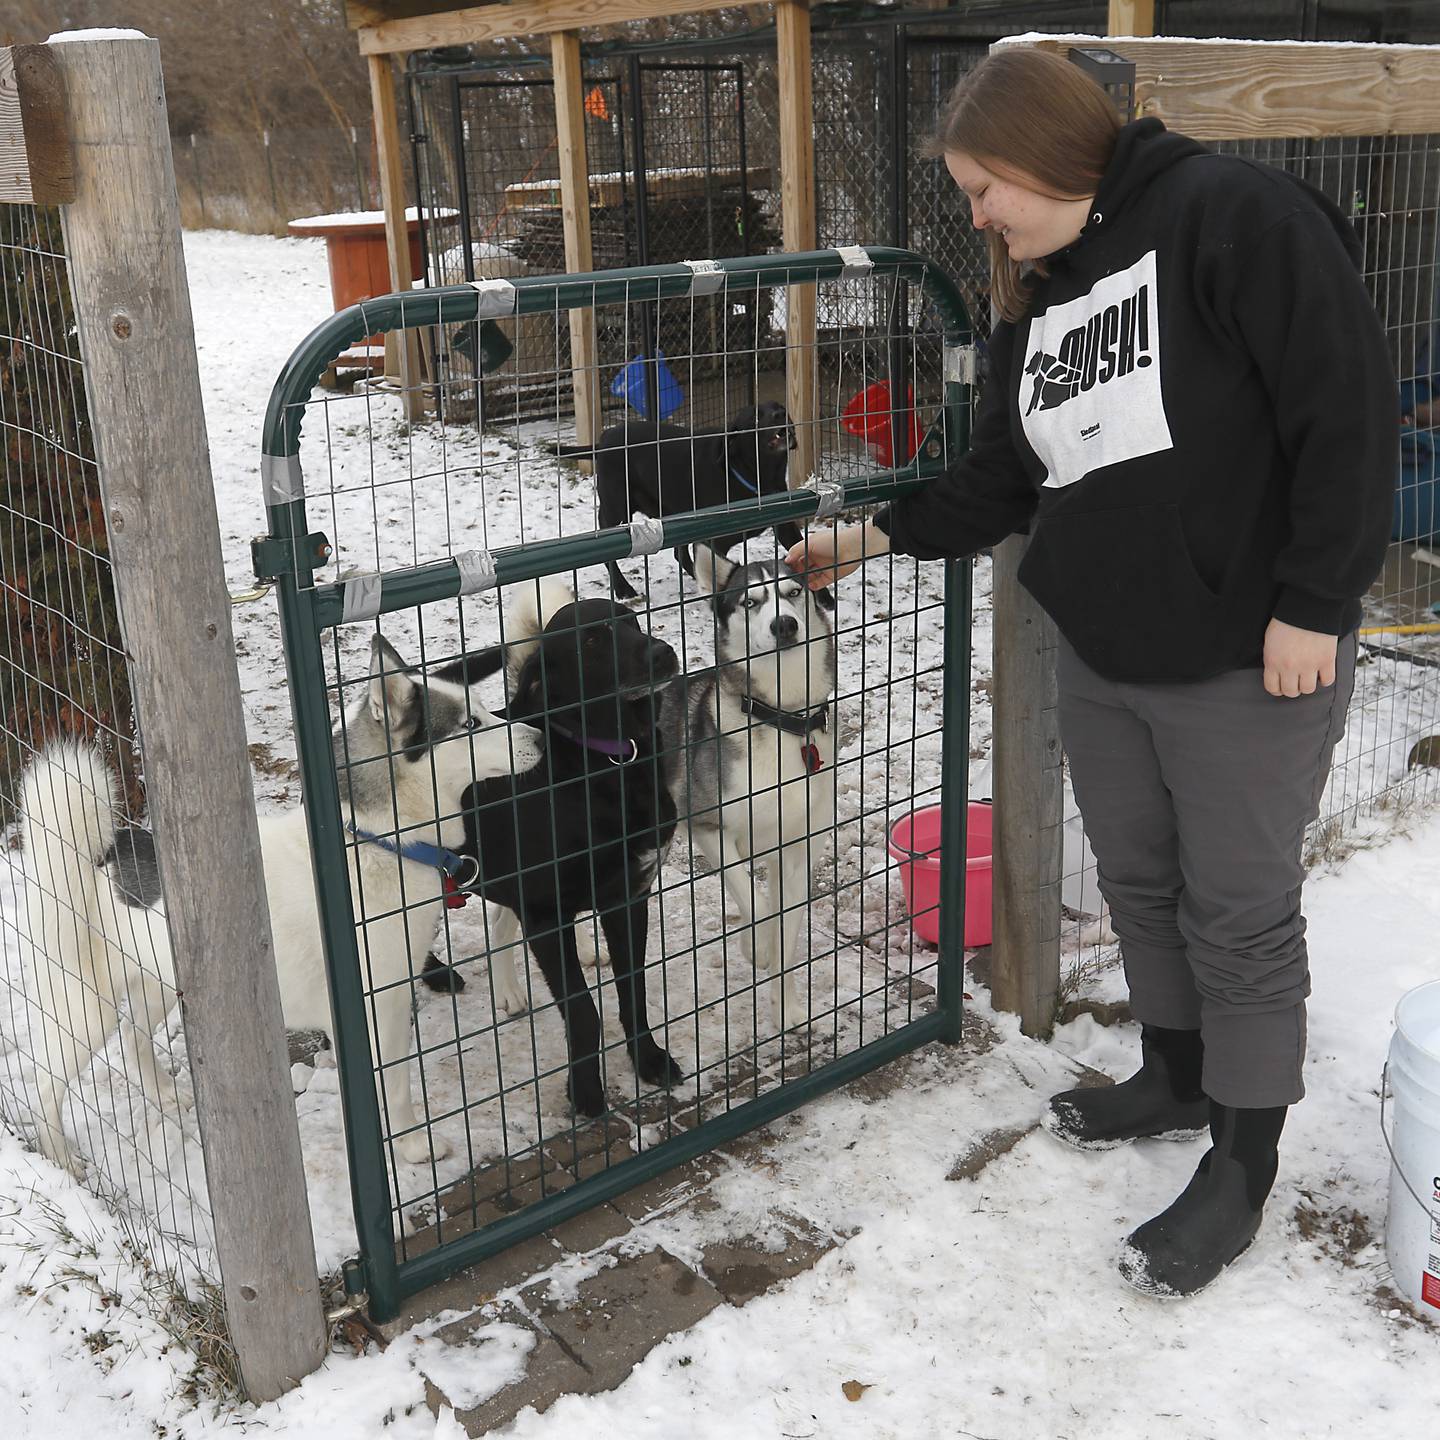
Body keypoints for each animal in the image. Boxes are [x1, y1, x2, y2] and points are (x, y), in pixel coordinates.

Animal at [429, 584, 682, 1111]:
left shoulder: (627, 897)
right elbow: (584, 1012)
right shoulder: (546, 914)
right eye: (591, 641)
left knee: (500, 921)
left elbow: (633, 991)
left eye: (632, 621)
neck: (605, 760)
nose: (663, 652)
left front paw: (648, 1060)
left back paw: (507, 989)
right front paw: (585, 1092)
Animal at [555, 400, 800, 596]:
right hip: (618, 508)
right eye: (756, 417)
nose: (780, 414)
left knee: (679, 553)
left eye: (781, 408)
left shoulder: (786, 525)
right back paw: (622, 587)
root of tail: (604, 439)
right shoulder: (715, 542)